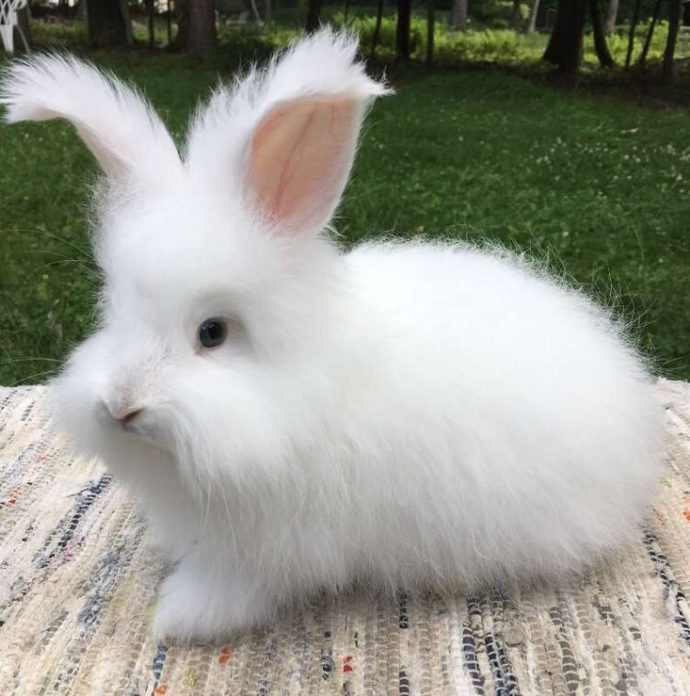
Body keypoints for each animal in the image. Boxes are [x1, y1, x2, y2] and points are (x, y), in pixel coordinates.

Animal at [1, 29, 666, 643]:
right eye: (113, 311)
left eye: (212, 333)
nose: (120, 407)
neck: (291, 394)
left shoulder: (270, 548)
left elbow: (232, 589)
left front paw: (178, 619)